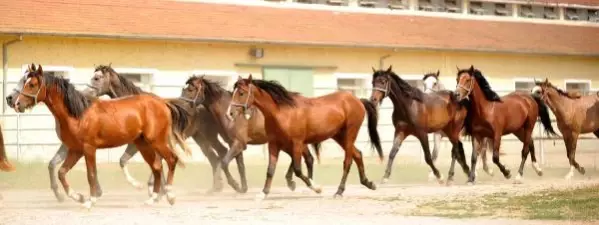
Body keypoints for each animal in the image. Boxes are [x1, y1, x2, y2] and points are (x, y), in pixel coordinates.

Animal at [7, 63, 192, 209]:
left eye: (31, 84)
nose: (14, 102)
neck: (78, 113)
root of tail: (162, 103)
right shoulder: (75, 150)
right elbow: (61, 172)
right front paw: (79, 197)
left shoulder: (89, 148)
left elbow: (91, 174)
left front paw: (90, 201)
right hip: (143, 144)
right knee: (157, 166)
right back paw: (152, 199)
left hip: (156, 141)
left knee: (171, 160)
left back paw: (169, 196)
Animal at [180, 74, 322, 192]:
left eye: (191, 89)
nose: (181, 105)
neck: (231, 114)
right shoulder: (234, 143)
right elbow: (240, 166)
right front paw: (243, 188)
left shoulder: (238, 143)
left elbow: (224, 163)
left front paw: (235, 185)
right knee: (303, 158)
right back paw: (294, 182)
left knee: (307, 158)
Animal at [227, 74, 382, 200]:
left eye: (241, 93)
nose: (230, 113)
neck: (282, 112)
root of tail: (357, 100)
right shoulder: (274, 144)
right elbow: (270, 170)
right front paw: (263, 193)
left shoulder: (297, 143)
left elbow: (298, 169)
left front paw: (316, 188)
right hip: (339, 136)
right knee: (358, 154)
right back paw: (369, 183)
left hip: (350, 133)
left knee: (348, 161)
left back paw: (339, 191)